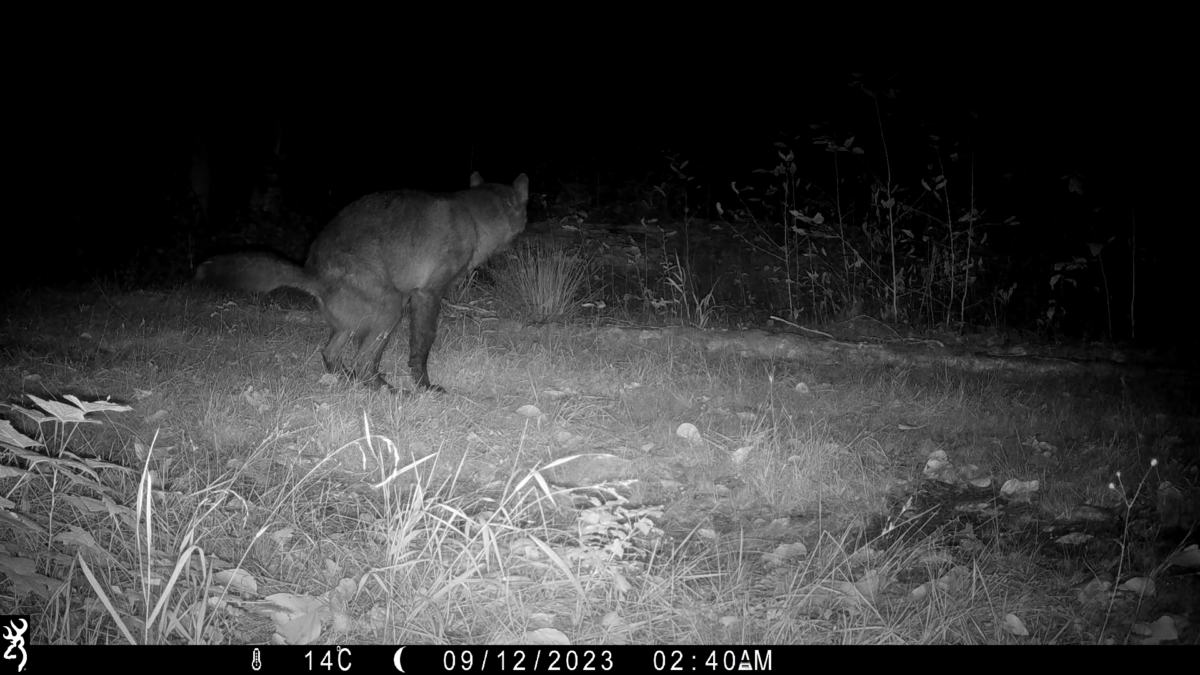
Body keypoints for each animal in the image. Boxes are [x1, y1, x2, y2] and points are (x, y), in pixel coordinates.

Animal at [196, 172, 529, 392]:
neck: (472, 219)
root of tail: (311, 274)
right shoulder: (427, 294)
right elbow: (422, 347)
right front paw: (424, 386)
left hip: (359, 324)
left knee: (333, 355)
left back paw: (350, 381)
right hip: (393, 308)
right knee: (361, 363)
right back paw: (387, 391)